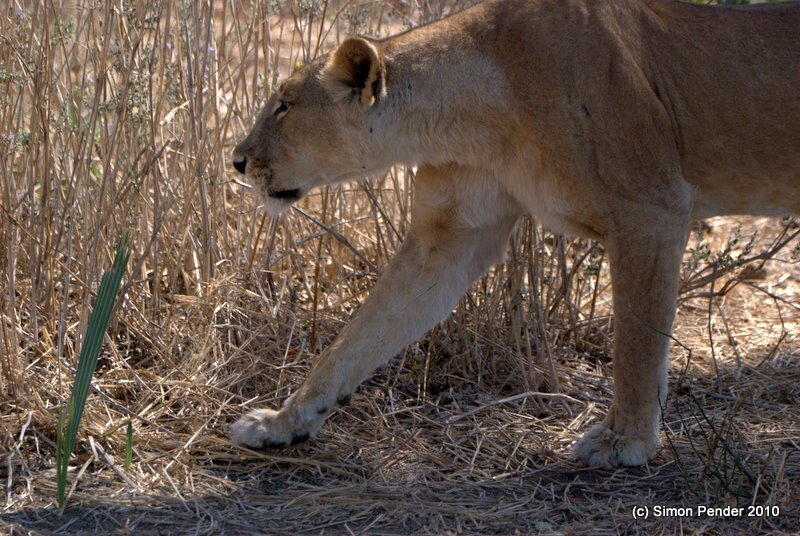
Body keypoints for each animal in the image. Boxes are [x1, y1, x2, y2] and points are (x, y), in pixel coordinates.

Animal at [229, 0, 800, 468]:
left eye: (284, 104)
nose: (236, 160)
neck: (471, 114)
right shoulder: (451, 235)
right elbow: (358, 338)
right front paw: (284, 423)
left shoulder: (652, 209)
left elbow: (636, 343)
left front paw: (625, 443)